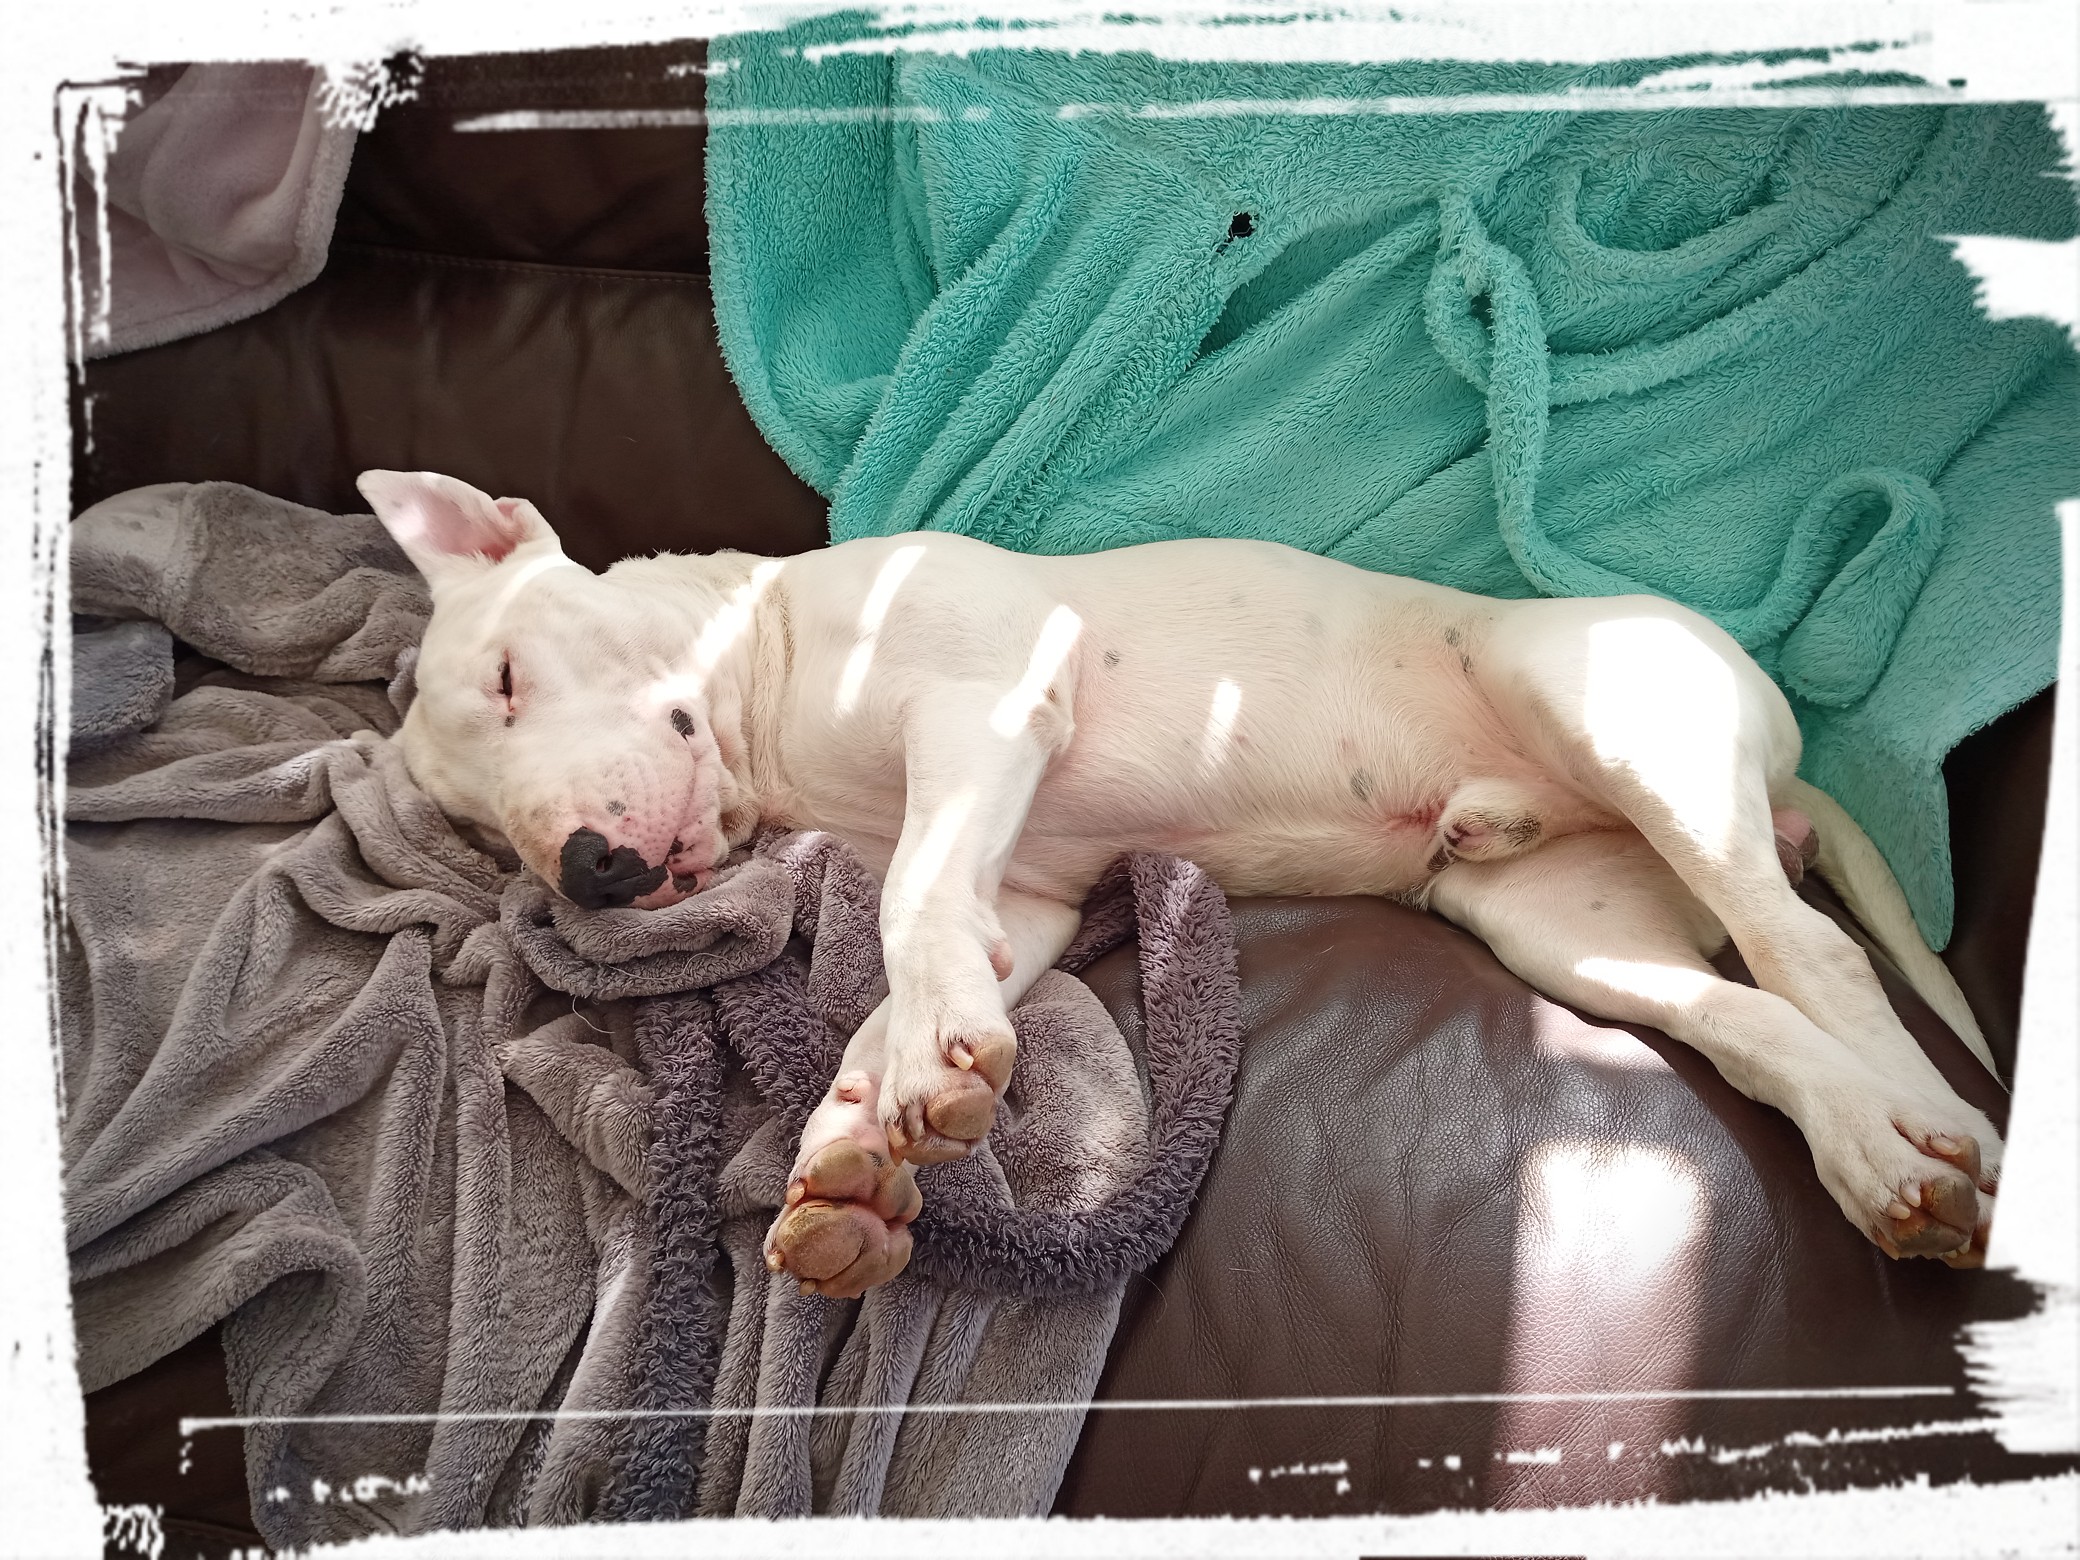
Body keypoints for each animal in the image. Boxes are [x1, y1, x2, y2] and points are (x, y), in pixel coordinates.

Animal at [359, 469, 2004, 1298]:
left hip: (1605, 713)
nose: (591, 874)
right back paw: (1880, 1154)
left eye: (507, 676)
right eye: (485, 837)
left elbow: (902, 914)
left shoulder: (983, 717)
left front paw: (914, 1091)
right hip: (1566, 932)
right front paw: (856, 1156)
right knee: (1747, 1014)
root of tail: (1780, 754)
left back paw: (1928, 1130)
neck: (768, 682)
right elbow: (901, 984)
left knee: (1815, 957)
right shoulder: (1014, 895)